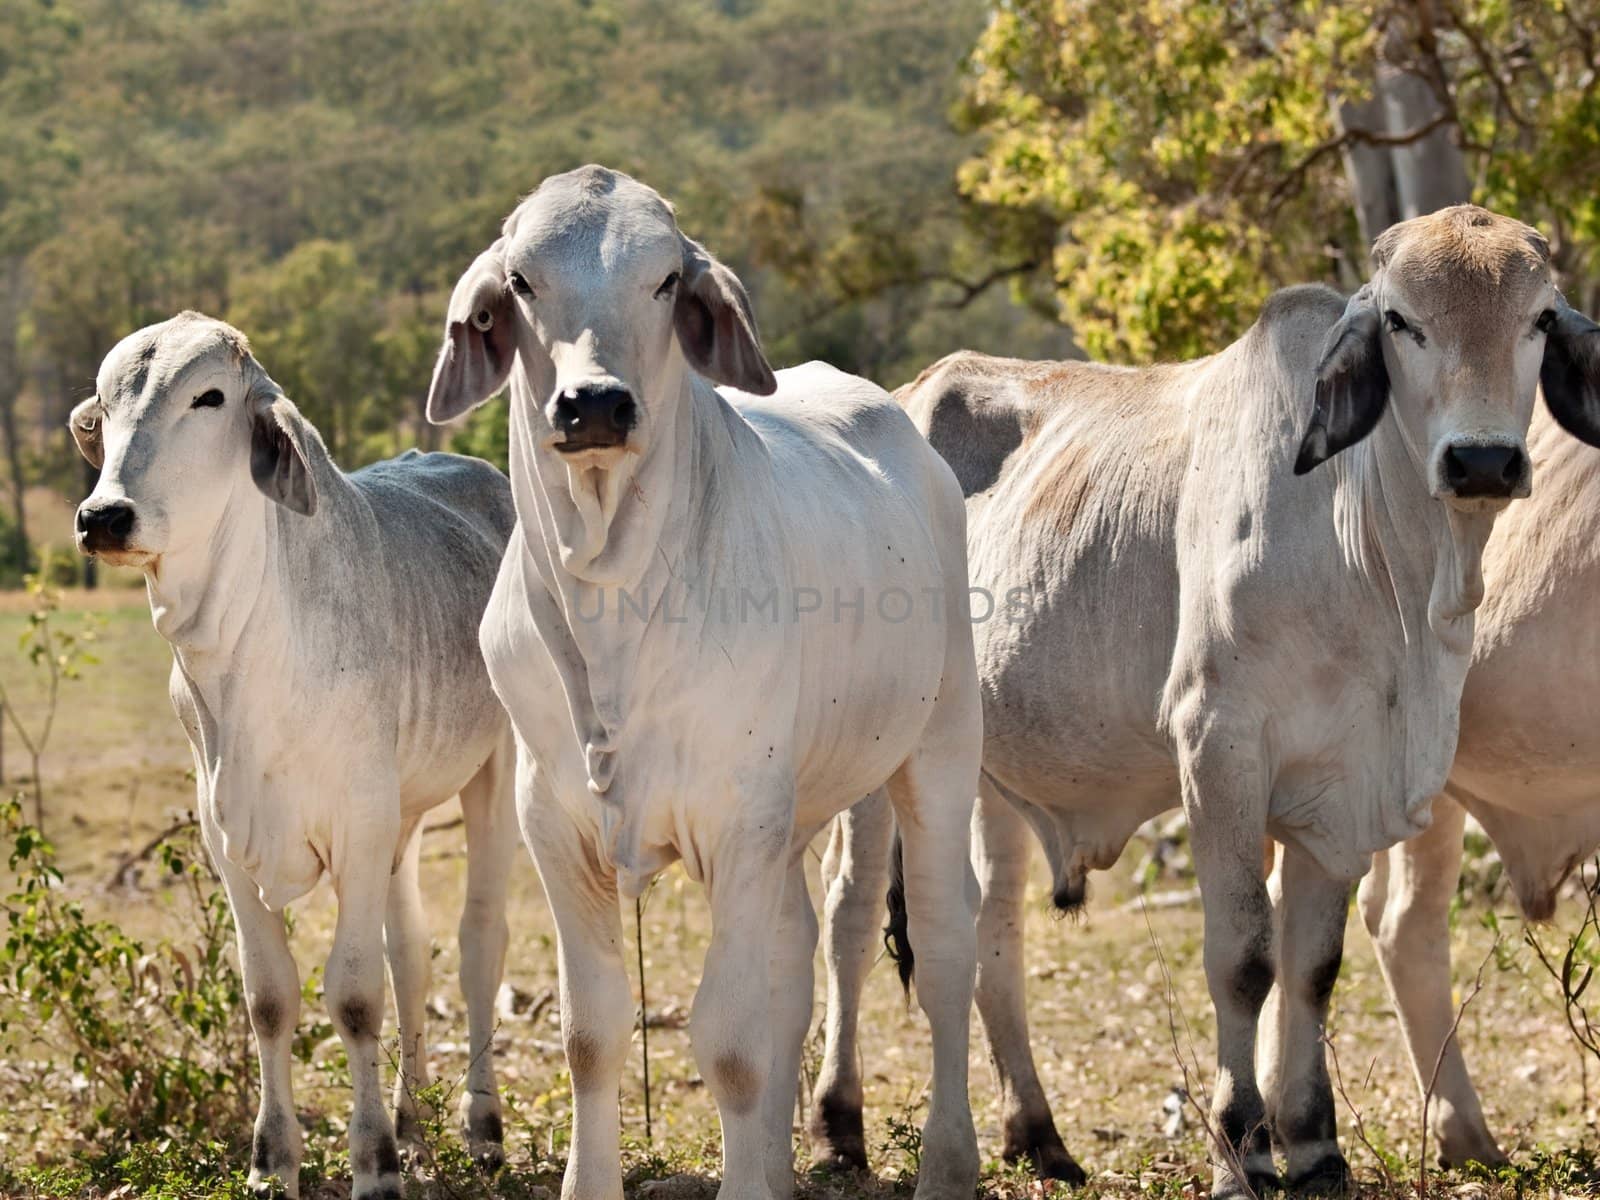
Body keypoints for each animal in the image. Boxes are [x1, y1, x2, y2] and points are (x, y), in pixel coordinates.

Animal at [70, 312, 518, 1200]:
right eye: (104, 404)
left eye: (209, 397)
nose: (105, 516)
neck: (241, 654)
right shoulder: (232, 840)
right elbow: (271, 997)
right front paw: (273, 1158)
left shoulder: (356, 824)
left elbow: (353, 996)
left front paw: (373, 1162)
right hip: (402, 819)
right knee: (411, 955)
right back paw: (418, 1131)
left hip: (495, 770)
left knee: (478, 944)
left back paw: (479, 1130)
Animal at [419, 167, 979, 1200]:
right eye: (520, 281)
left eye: (667, 280)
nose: (594, 404)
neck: (612, 608)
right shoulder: (555, 826)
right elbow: (592, 1035)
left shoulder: (737, 823)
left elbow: (732, 1046)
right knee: (796, 959)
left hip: (939, 747)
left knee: (947, 948)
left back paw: (949, 1164)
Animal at [806, 209, 1600, 1200]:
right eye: (1402, 322)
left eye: (1540, 318)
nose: (1483, 460)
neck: (1372, 556)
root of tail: (907, 393)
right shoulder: (1219, 749)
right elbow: (1246, 962)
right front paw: (1242, 1148)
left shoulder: (1341, 785)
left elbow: (1313, 968)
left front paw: (1316, 1148)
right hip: (882, 758)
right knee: (848, 913)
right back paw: (839, 1127)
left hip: (985, 768)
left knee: (992, 929)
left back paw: (1038, 1133)